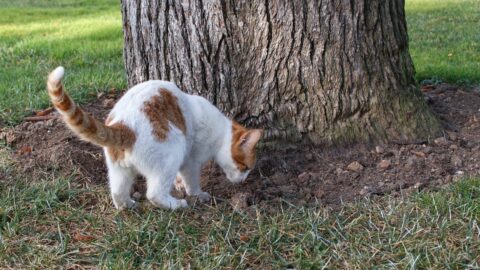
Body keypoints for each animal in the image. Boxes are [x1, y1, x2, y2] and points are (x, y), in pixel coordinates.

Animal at [47, 66, 264, 210]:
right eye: (245, 167)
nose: (243, 180)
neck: (221, 131)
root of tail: (123, 126)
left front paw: (178, 184)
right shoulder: (191, 161)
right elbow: (192, 181)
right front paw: (197, 194)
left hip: (118, 170)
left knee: (117, 192)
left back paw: (127, 205)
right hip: (172, 153)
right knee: (154, 193)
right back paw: (176, 204)